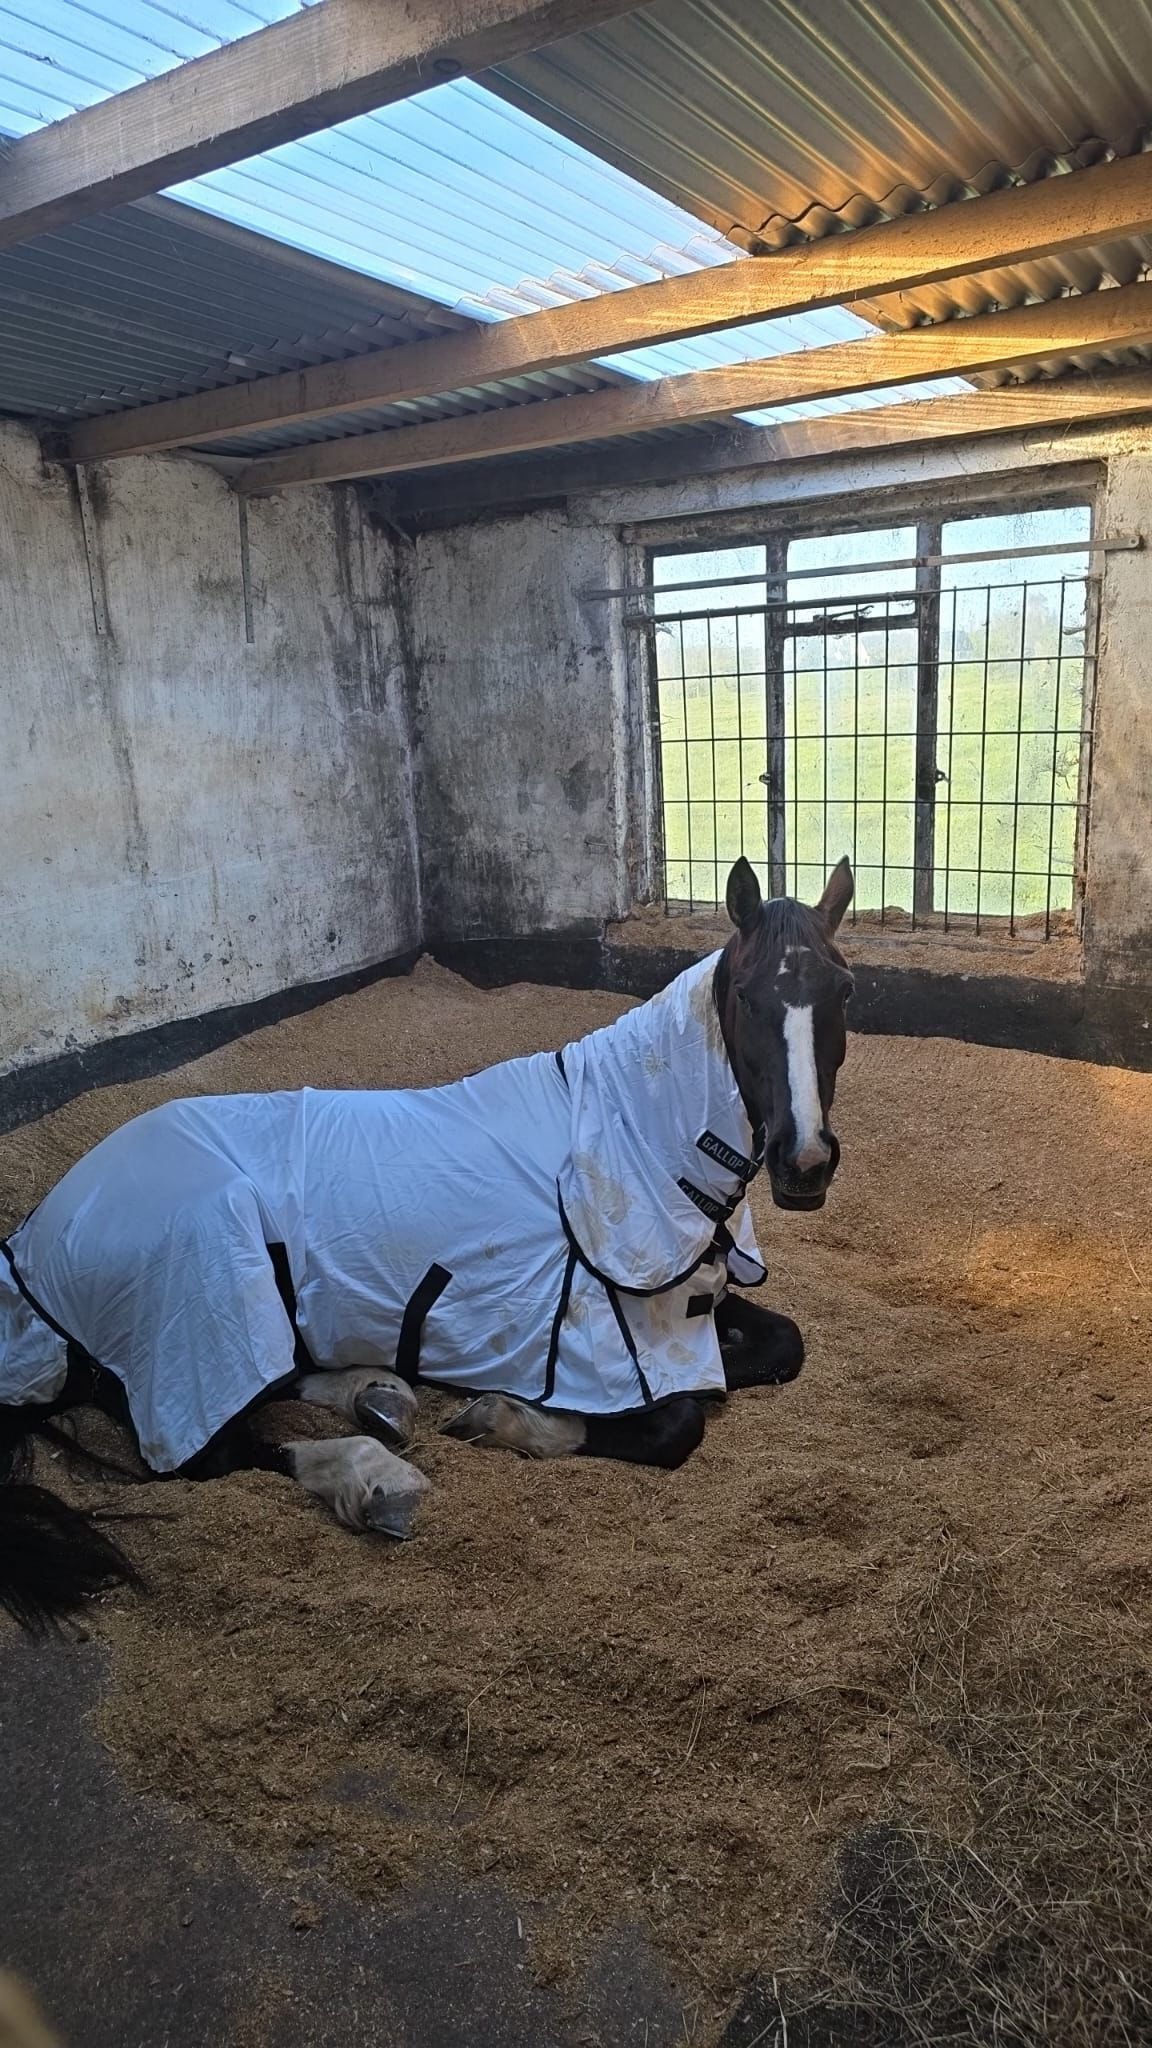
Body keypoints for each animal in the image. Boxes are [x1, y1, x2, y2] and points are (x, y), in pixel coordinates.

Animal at [0, 856, 854, 1634]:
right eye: (746, 997)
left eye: (842, 993)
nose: (806, 1164)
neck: (622, 1136)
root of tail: (40, 1231)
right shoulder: (598, 1342)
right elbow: (675, 1425)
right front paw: (510, 1421)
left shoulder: (686, 1307)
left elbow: (784, 1343)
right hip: (203, 1322)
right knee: (212, 1449)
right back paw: (375, 1474)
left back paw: (379, 1395)